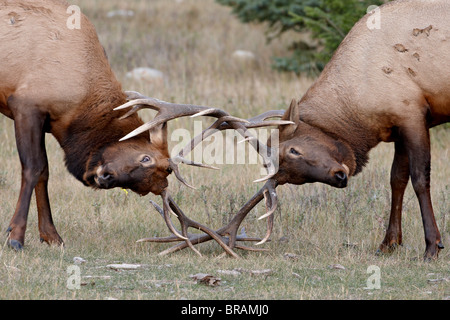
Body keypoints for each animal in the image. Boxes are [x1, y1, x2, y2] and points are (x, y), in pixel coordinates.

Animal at [0, 0, 290, 251]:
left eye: (141, 190)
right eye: (146, 158)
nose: (105, 177)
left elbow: (44, 173)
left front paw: (51, 236)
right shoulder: (26, 105)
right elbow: (34, 168)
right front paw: (15, 236)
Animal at [145, 0, 450, 260]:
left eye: (293, 149)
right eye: (293, 179)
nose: (339, 176)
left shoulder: (412, 114)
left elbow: (420, 179)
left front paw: (432, 246)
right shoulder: (398, 126)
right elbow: (396, 179)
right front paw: (389, 243)